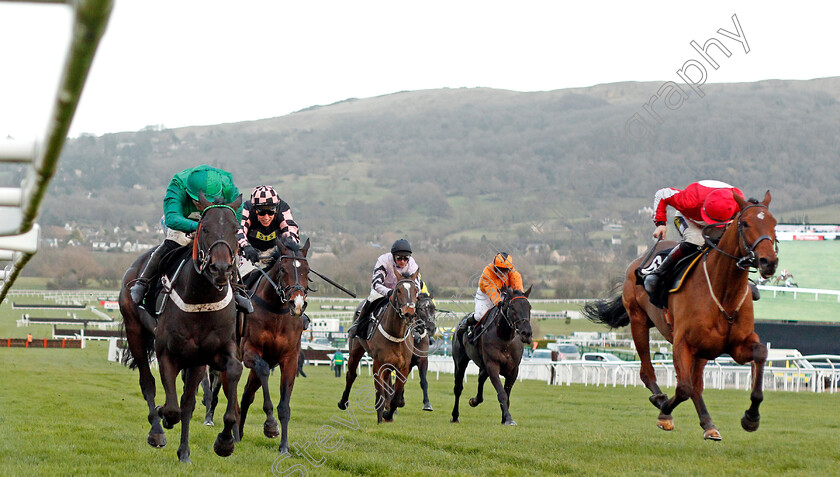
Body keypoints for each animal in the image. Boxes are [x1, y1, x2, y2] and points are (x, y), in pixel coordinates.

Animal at [121, 191, 246, 462]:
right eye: (205, 228)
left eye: (235, 229)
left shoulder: (211, 353)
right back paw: (157, 430)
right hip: (135, 331)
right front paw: (162, 419)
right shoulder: (166, 352)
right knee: (147, 383)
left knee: (186, 402)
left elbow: (230, 373)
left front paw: (224, 441)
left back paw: (185, 451)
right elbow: (171, 407)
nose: (221, 268)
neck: (200, 298)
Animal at [236, 238, 312, 454]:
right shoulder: (250, 351)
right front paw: (270, 426)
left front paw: (284, 446)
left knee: (247, 395)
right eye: (283, 269)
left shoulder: (290, 359)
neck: (276, 312)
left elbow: (284, 405)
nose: (297, 304)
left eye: (307, 270)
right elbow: (262, 370)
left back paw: (238, 433)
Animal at [338, 272, 420, 424]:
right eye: (398, 290)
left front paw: (389, 414)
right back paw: (343, 402)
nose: (409, 313)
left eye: (416, 291)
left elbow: (396, 397)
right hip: (355, 350)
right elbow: (379, 394)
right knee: (351, 375)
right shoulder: (378, 365)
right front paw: (381, 418)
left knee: (387, 380)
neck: (396, 335)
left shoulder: (403, 368)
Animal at [452, 286, 532, 424]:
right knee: (458, 388)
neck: (504, 338)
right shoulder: (492, 365)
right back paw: (455, 416)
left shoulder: (513, 370)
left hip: (483, 366)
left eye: (529, 307)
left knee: (480, 379)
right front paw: (508, 419)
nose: (526, 333)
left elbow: (507, 395)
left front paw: (505, 418)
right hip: (460, 362)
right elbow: (502, 393)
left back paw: (474, 401)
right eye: (512, 308)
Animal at [580, 190, 776, 438]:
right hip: (638, 320)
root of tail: (639, 260)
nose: (769, 262)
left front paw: (751, 417)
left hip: (703, 349)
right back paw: (660, 399)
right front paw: (664, 412)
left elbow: (760, 354)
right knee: (648, 371)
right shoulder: (682, 343)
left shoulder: (736, 345)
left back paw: (708, 424)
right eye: (746, 223)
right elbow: (683, 388)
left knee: (697, 385)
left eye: (774, 223)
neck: (724, 294)